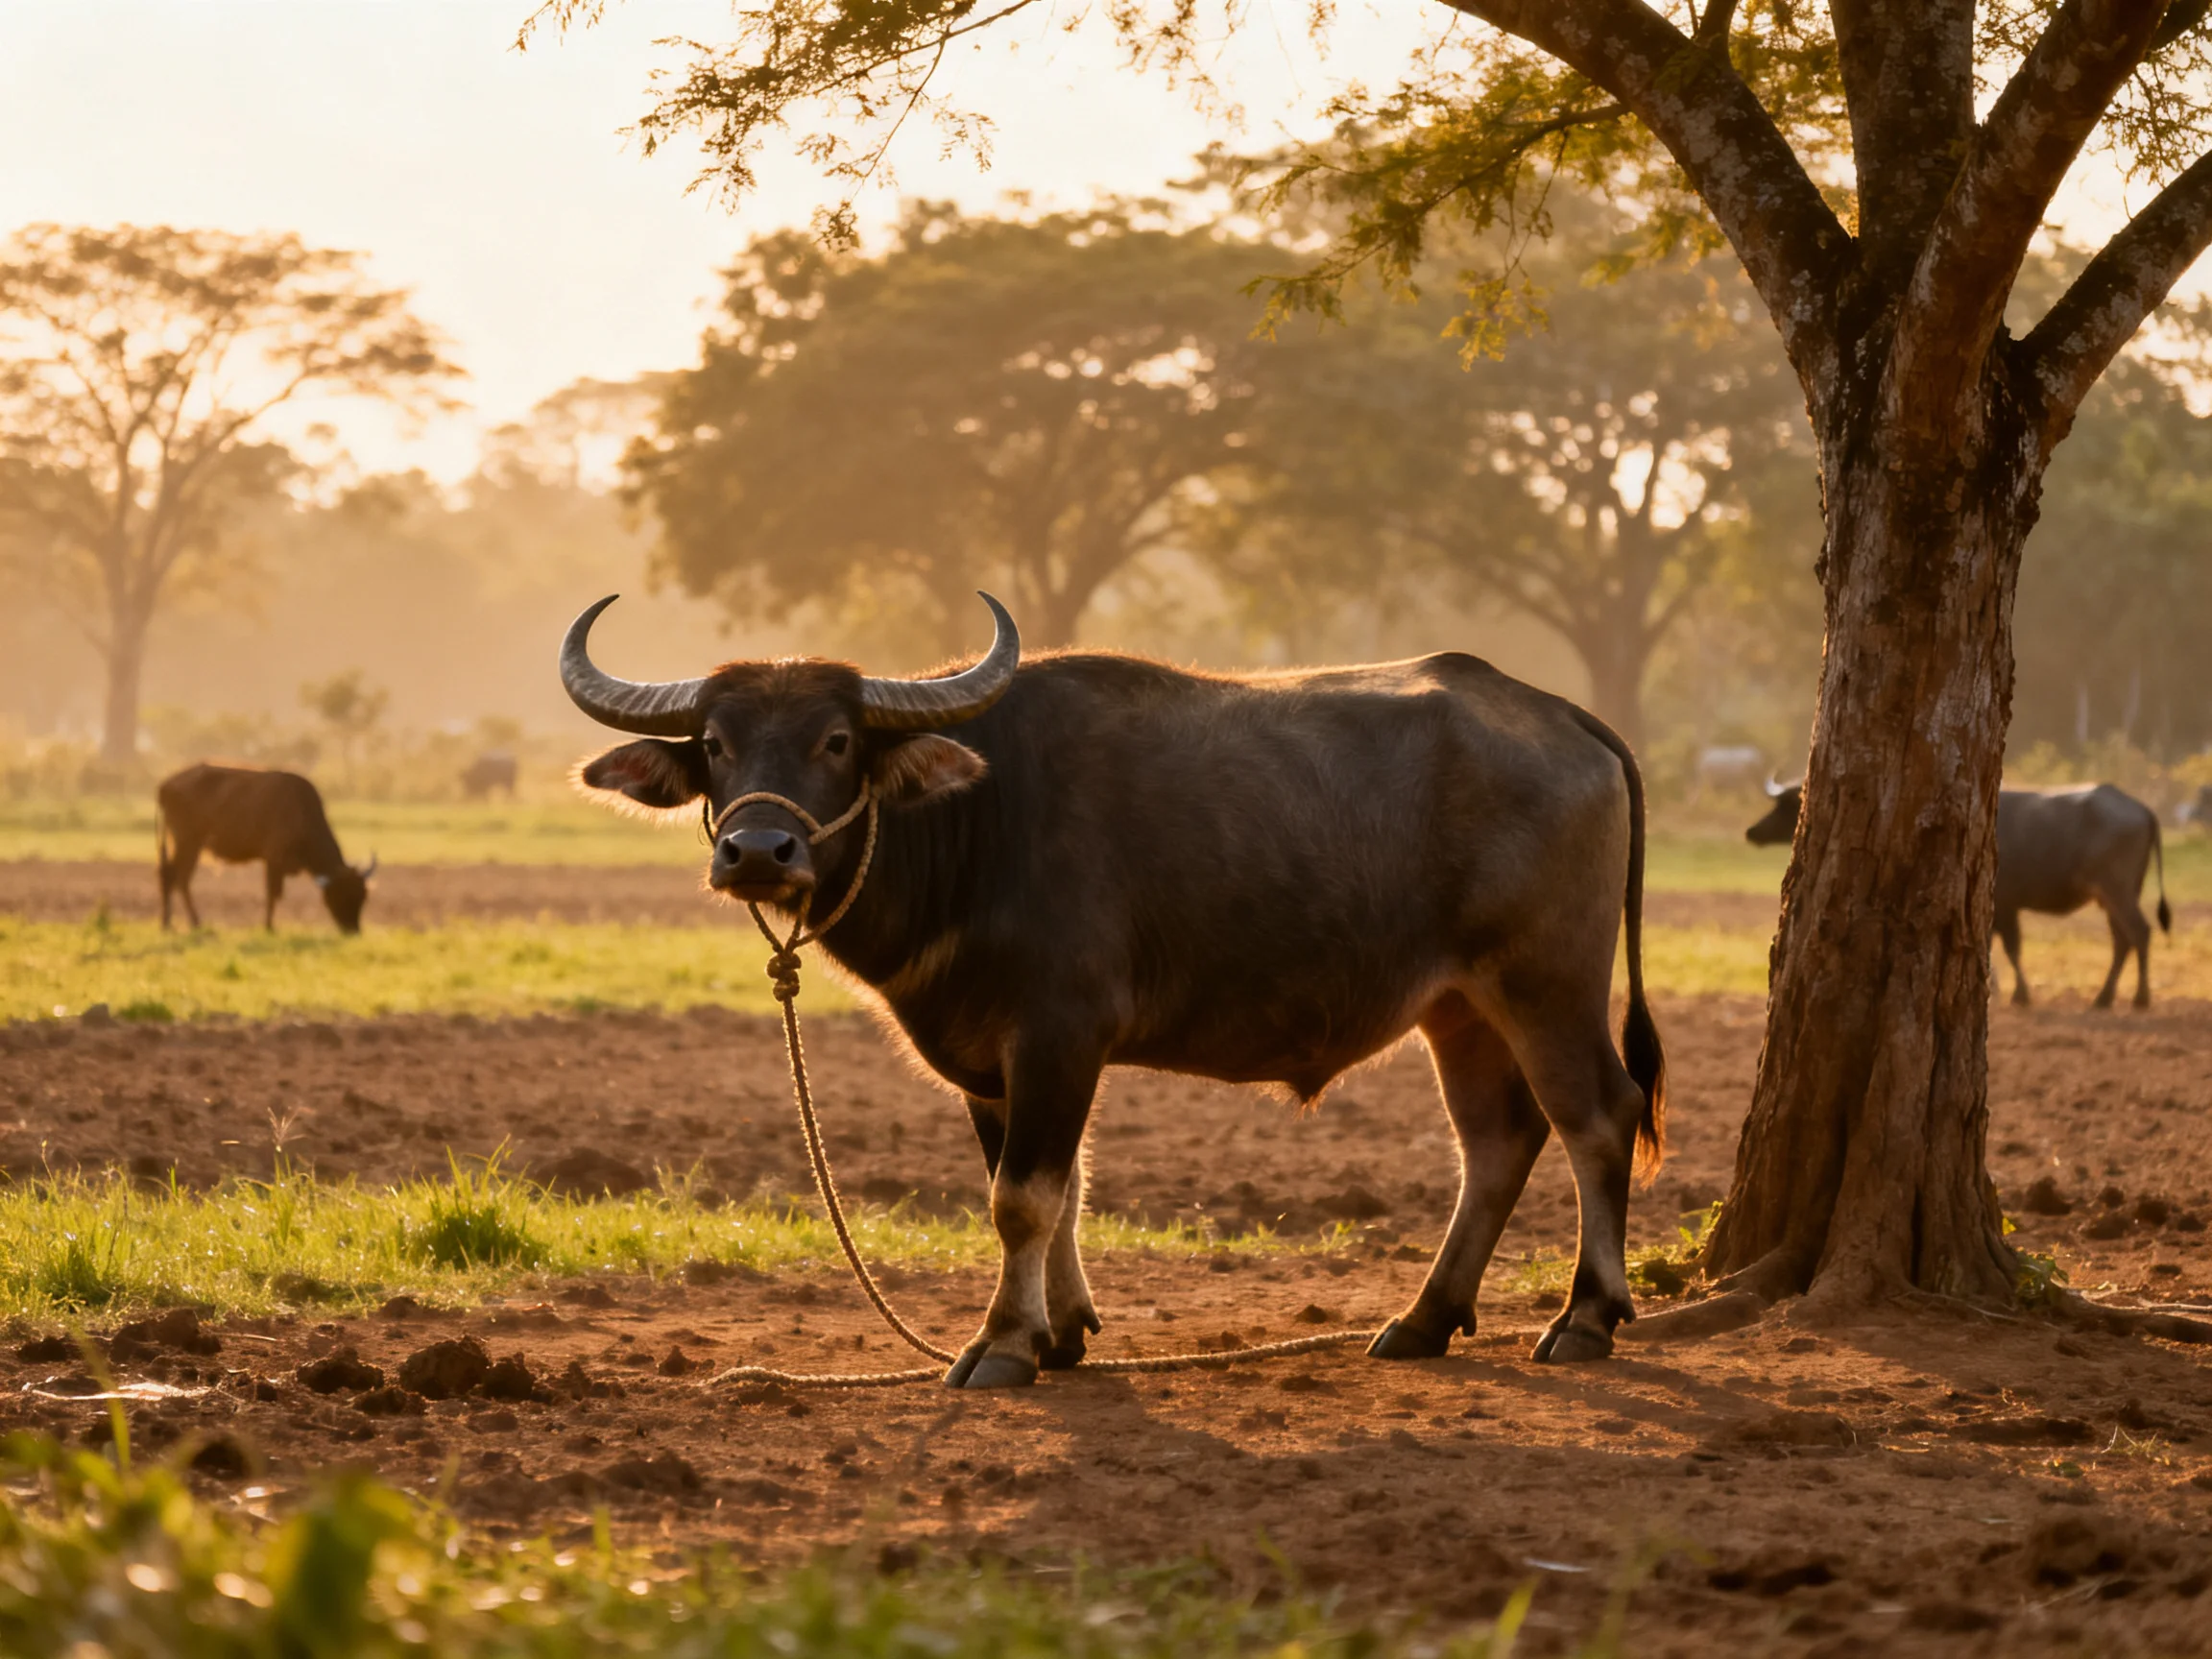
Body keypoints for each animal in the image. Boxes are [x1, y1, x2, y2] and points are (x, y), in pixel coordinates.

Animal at [157, 764, 377, 933]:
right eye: (340, 894)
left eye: (362, 895)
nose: (353, 930)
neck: (300, 811)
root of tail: (166, 785)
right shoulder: (273, 859)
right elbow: (272, 894)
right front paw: (269, 927)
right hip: (188, 843)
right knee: (177, 878)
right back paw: (190, 923)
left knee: (173, 877)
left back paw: (171, 924)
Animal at [562, 593, 1665, 1388]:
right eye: (715, 744)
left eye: (836, 740)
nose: (758, 851)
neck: (978, 822)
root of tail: (1568, 719)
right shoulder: (991, 1061)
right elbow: (1055, 1190)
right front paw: (1062, 1333)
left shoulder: (1060, 1035)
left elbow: (1024, 1196)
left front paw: (1004, 1346)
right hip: (1459, 1007)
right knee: (1497, 1140)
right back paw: (1425, 1319)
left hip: (1546, 983)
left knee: (1598, 1118)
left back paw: (1584, 1318)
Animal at [1746, 780, 2170, 1007]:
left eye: (1788, 804)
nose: (1752, 831)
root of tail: (2143, 809)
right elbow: (1997, 947)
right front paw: (2003, 990)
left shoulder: (2005, 905)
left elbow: (2009, 948)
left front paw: (2017, 994)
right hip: (2113, 895)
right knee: (2122, 941)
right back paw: (2105, 998)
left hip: (2117, 890)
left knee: (2139, 933)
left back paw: (2139, 998)